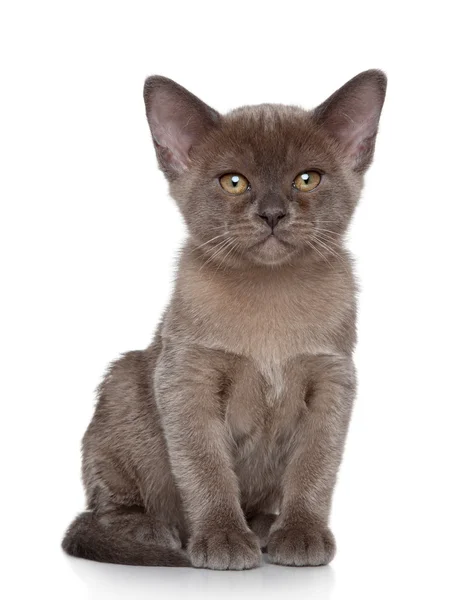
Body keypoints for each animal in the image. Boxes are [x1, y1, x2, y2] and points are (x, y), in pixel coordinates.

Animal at [61, 69, 384, 568]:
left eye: (306, 179)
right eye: (234, 182)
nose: (272, 214)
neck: (271, 297)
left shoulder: (332, 381)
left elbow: (315, 468)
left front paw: (302, 535)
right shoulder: (187, 379)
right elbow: (206, 468)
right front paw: (221, 539)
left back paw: (266, 527)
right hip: (125, 379)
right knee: (102, 509)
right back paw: (154, 531)